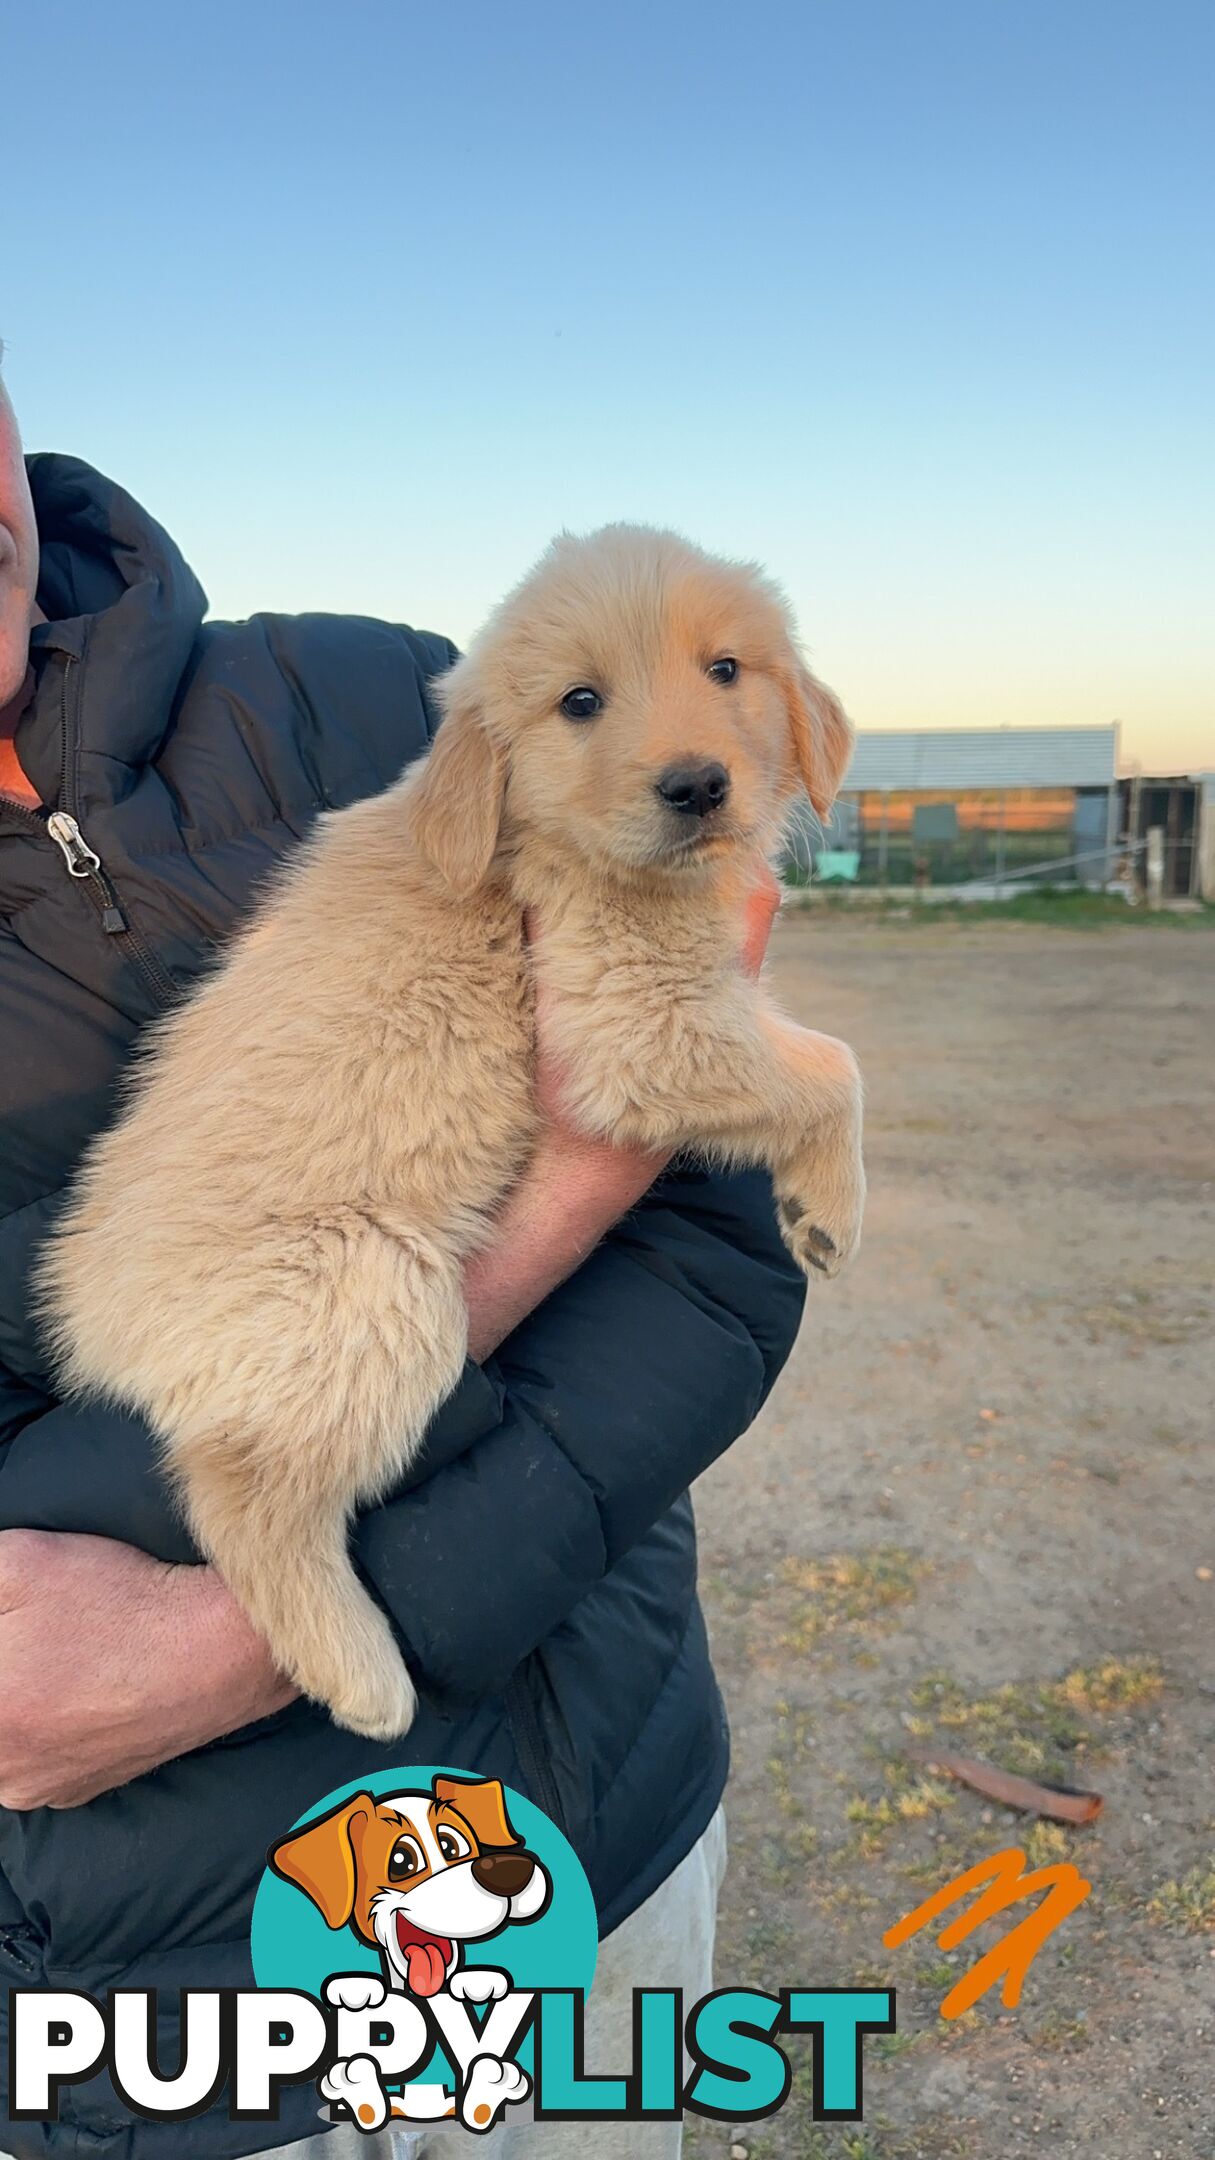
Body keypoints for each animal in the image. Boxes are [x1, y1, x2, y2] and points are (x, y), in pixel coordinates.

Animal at [40, 531, 860, 1745]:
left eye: (726, 671)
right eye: (579, 702)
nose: (697, 786)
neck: (540, 840)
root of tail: (85, 1313)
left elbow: (805, 1055)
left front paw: (807, 1204)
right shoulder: (632, 1026)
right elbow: (833, 1070)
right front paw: (835, 1202)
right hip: (370, 1285)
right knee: (241, 1496)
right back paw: (361, 1678)